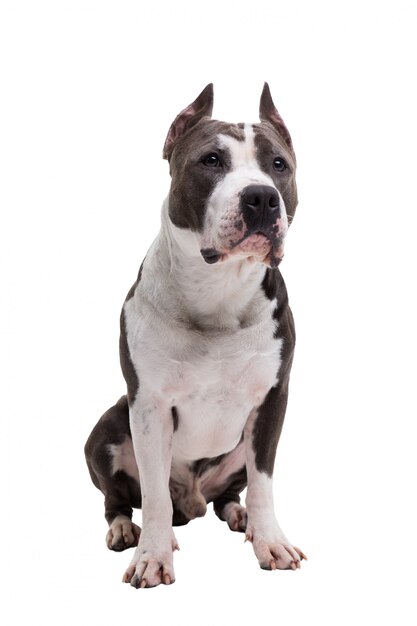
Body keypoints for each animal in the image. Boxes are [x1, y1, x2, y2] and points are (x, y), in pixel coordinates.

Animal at [84, 83, 306, 584]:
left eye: (278, 164)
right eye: (211, 160)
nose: (261, 197)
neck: (219, 290)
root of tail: (194, 499)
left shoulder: (272, 400)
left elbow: (264, 484)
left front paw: (269, 540)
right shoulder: (148, 405)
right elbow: (154, 497)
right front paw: (151, 555)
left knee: (229, 494)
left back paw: (239, 517)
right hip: (108, 427)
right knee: (120, 499)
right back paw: (125, 530)